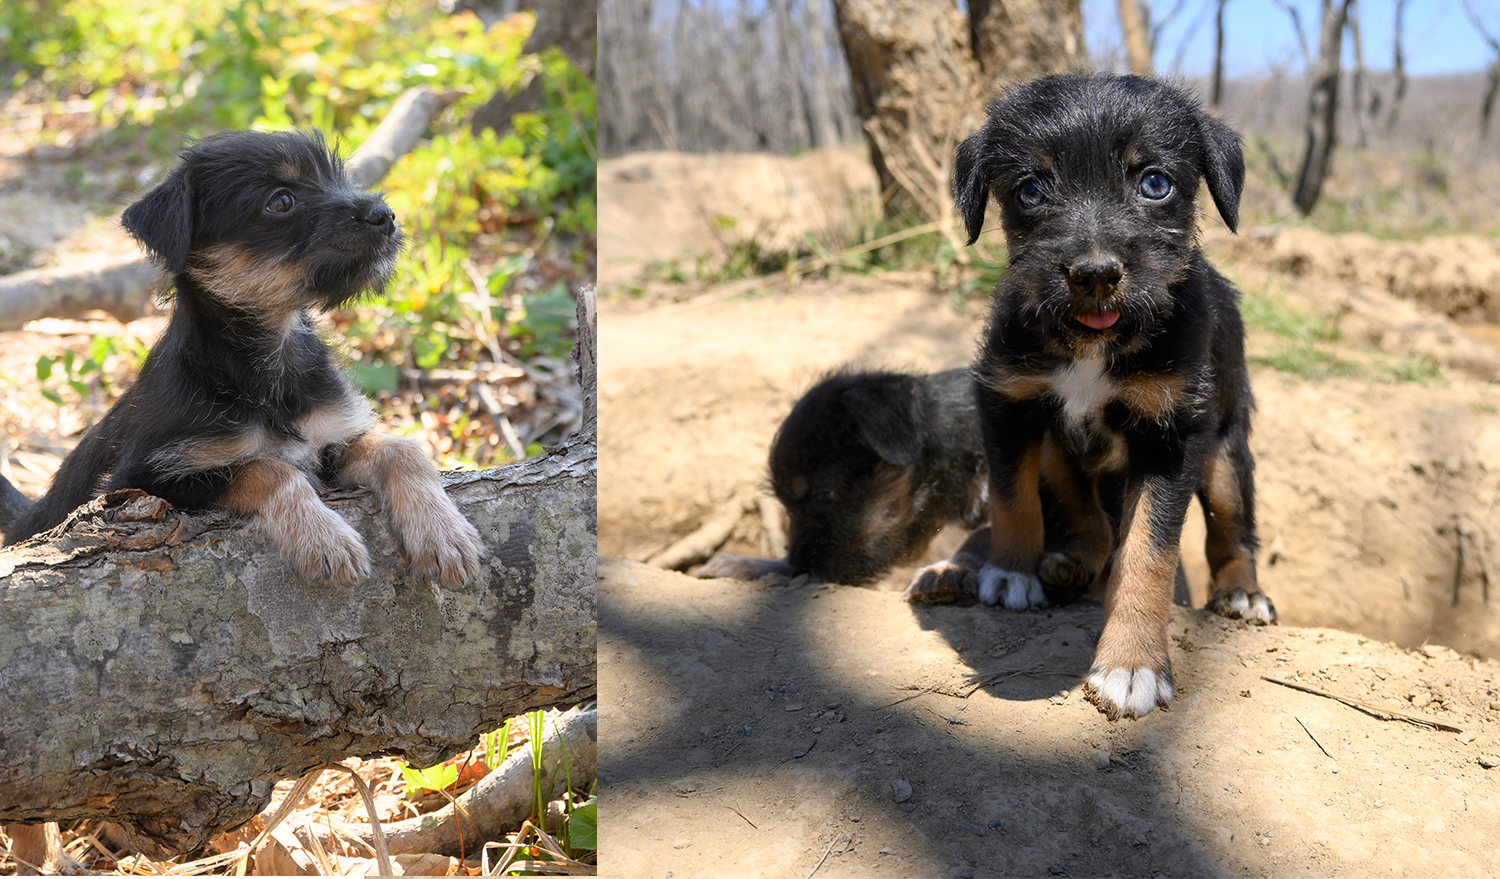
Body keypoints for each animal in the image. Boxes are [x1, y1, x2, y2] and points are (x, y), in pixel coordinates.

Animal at [0, 128, 480, 582]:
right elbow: (268, 469)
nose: (385, 216)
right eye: (281, 200)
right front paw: (324, 540)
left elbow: (402, 449)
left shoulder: (332, 437)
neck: (267, 361)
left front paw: (443, 534)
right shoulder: (145, 482)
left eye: (340, 179)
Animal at [936, 75, 1278, 720]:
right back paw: (1070, 562)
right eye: (1031, 190)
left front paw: (1132, 664)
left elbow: (1147, 552)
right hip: (1057, 448)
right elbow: (1013, 497)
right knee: (1086, 513)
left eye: (1155, 183)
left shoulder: (1173, 434)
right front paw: (1009, 573)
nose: (1095, 274)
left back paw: (1242, 594)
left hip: (1226, 449)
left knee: (1231, 527)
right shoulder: (1007, 400)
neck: (1093, 345)